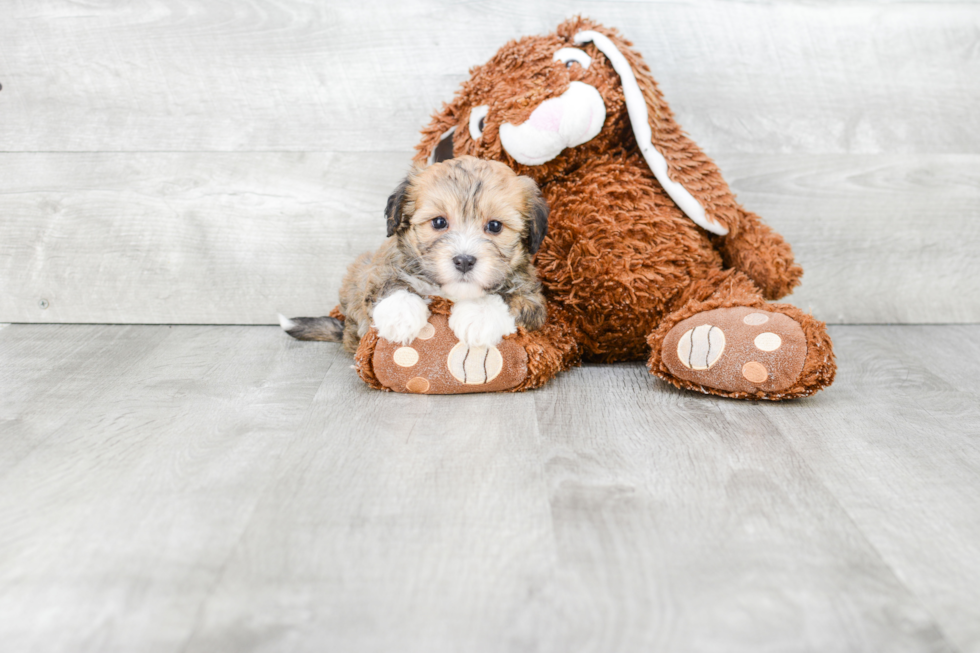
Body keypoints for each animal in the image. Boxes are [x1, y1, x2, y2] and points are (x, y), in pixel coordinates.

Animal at [282, 156, 552, 354]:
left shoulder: (532, 297)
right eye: (439, 222)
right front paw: (401, 317)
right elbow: (391, 284)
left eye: (495, 226)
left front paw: (478, 319)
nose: (464, 261)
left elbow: (509, 299)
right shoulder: (379, 267)